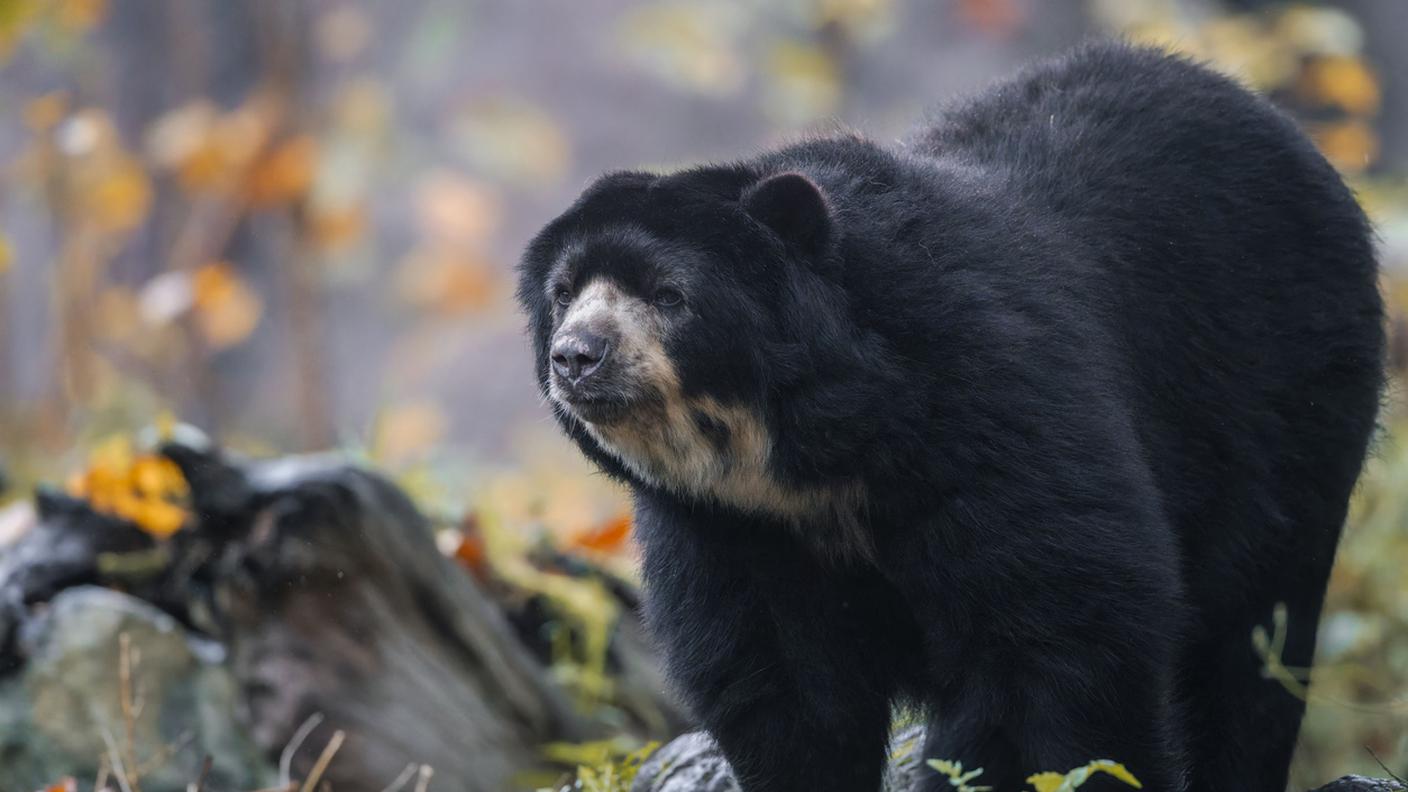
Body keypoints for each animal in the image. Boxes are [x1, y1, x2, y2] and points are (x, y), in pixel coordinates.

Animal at [517, 42, 1384, 792]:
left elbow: (1053, 638)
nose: (576, 357)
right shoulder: (727, 527)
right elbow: (782, 688)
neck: (807, 449)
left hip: (1289, 405)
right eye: (564, 292)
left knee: (1257, 643)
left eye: (670, 294)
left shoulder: (991, 406)